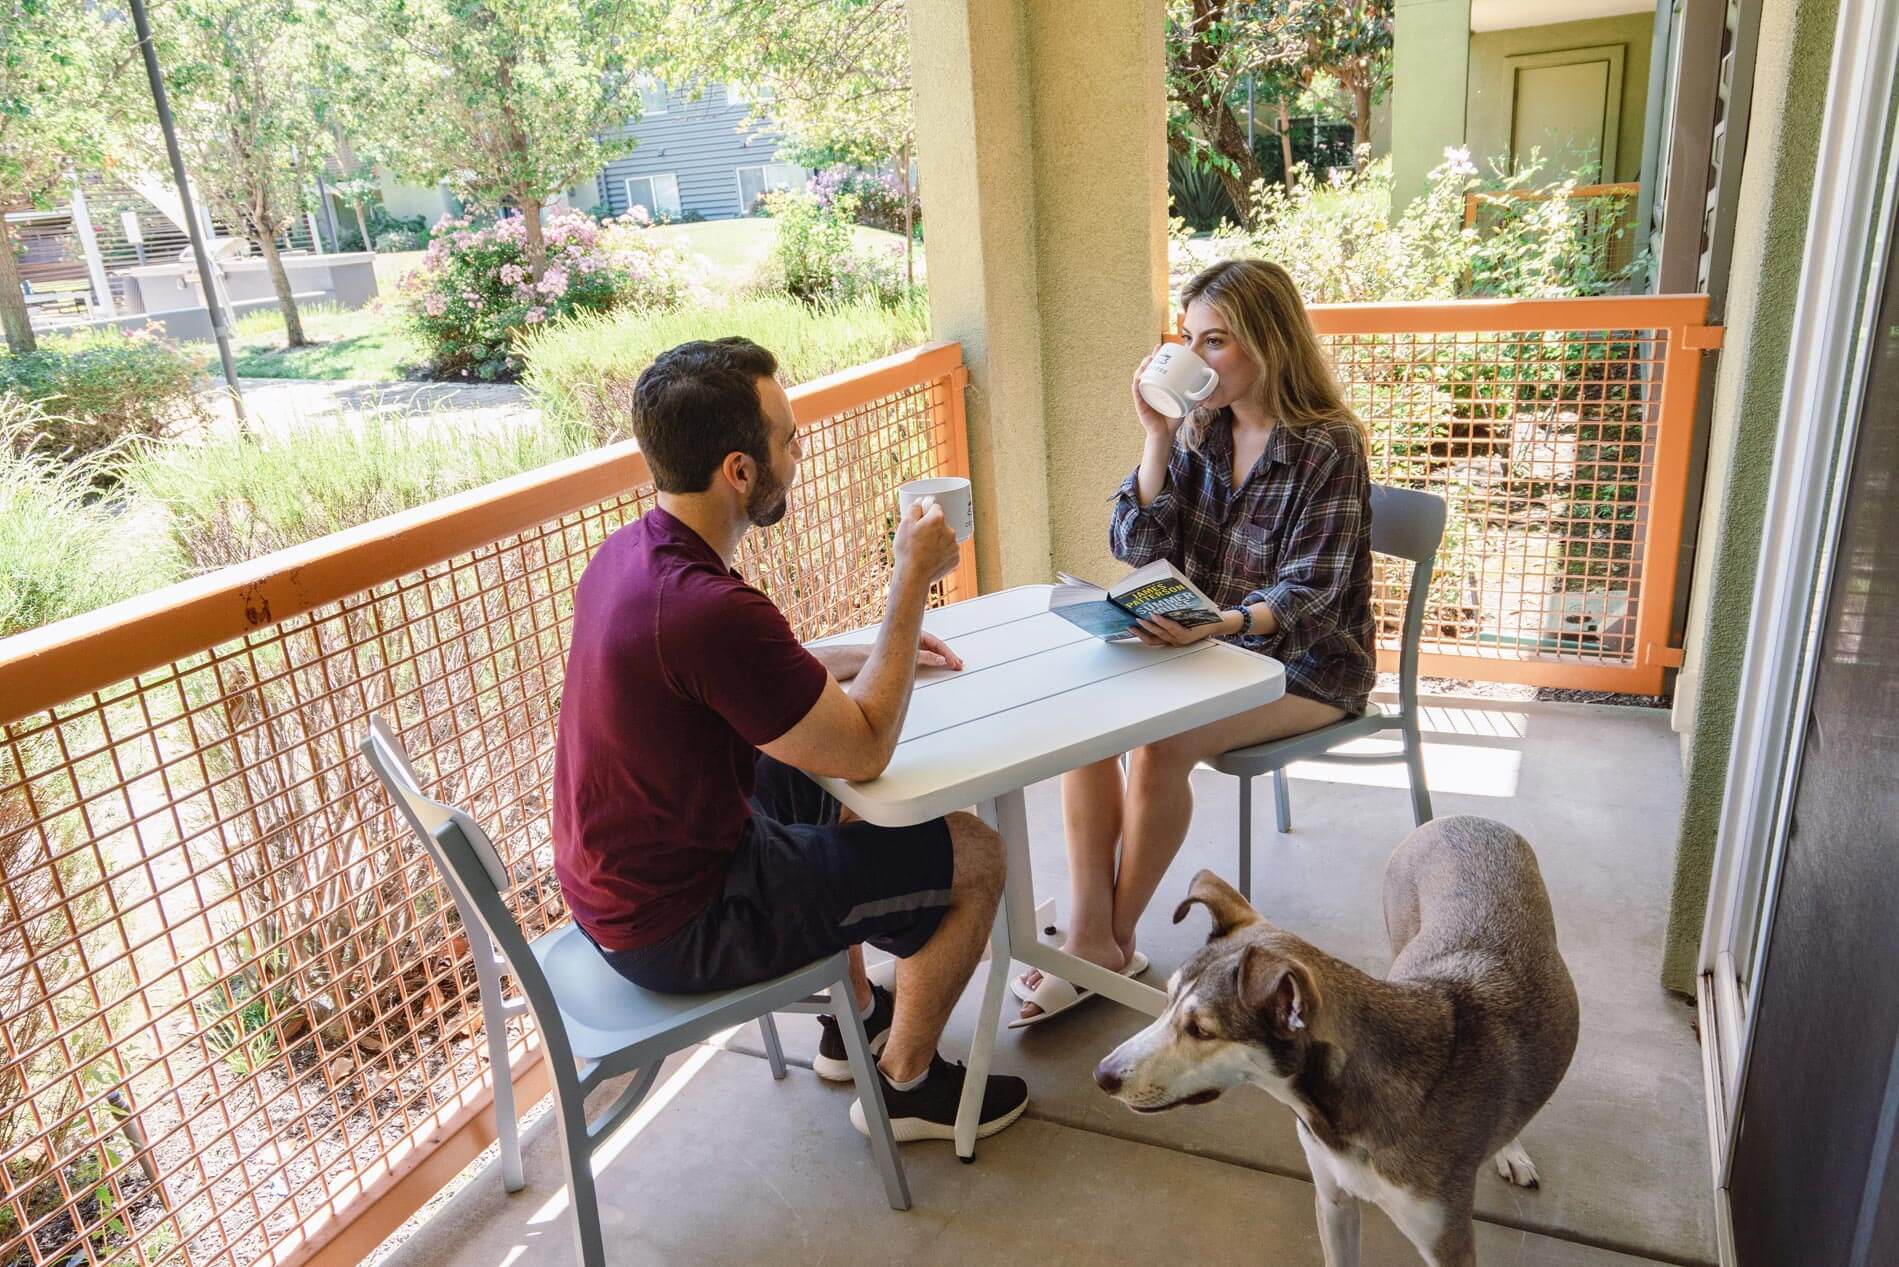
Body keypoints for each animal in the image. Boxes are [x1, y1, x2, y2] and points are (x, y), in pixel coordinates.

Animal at [1093, 816, 1579, 1261]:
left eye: (1201, 1030)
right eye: (1168, 998)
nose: (1102, 1075)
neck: (1341, 1111)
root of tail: (1458, 819)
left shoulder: (1446, 1241)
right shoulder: (1332, 1201)